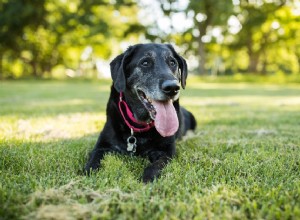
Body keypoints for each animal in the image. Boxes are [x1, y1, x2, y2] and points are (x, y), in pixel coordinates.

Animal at [85, 43, 197, 182]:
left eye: (172, 62)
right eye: (145, 62)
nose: (172, 88)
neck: (139, 125)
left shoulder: (167, 152)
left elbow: (156, 165)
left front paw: (147, 179)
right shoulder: (102, 146)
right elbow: (93, 160)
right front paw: (89, 173)